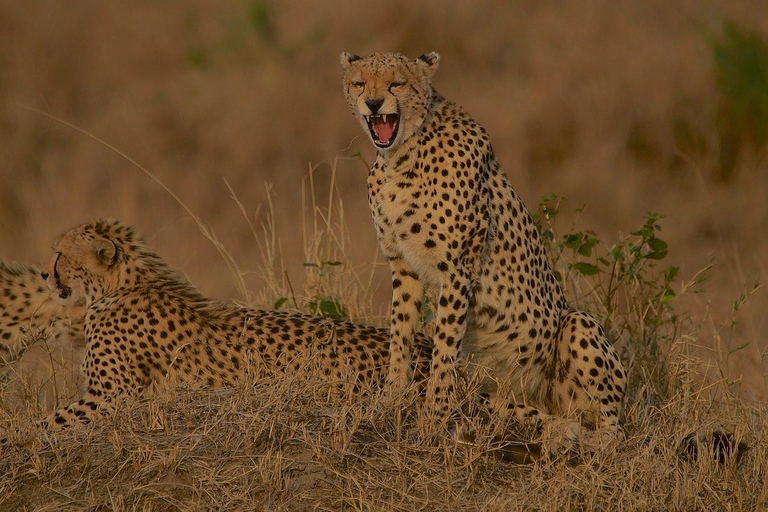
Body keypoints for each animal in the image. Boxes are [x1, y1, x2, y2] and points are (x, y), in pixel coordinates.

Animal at [340, 53, 628, 444]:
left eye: (396, 84)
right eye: (359, 84)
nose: (373, 103)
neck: (402, 154)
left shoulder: (456, 269)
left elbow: (445, 348)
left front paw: (433, 419)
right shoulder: (403, 264)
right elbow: (400, 335)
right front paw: (390, 400)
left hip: (577, 324)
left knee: (612, 430)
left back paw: (576, 439)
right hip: (501, 395)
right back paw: (552, 429)